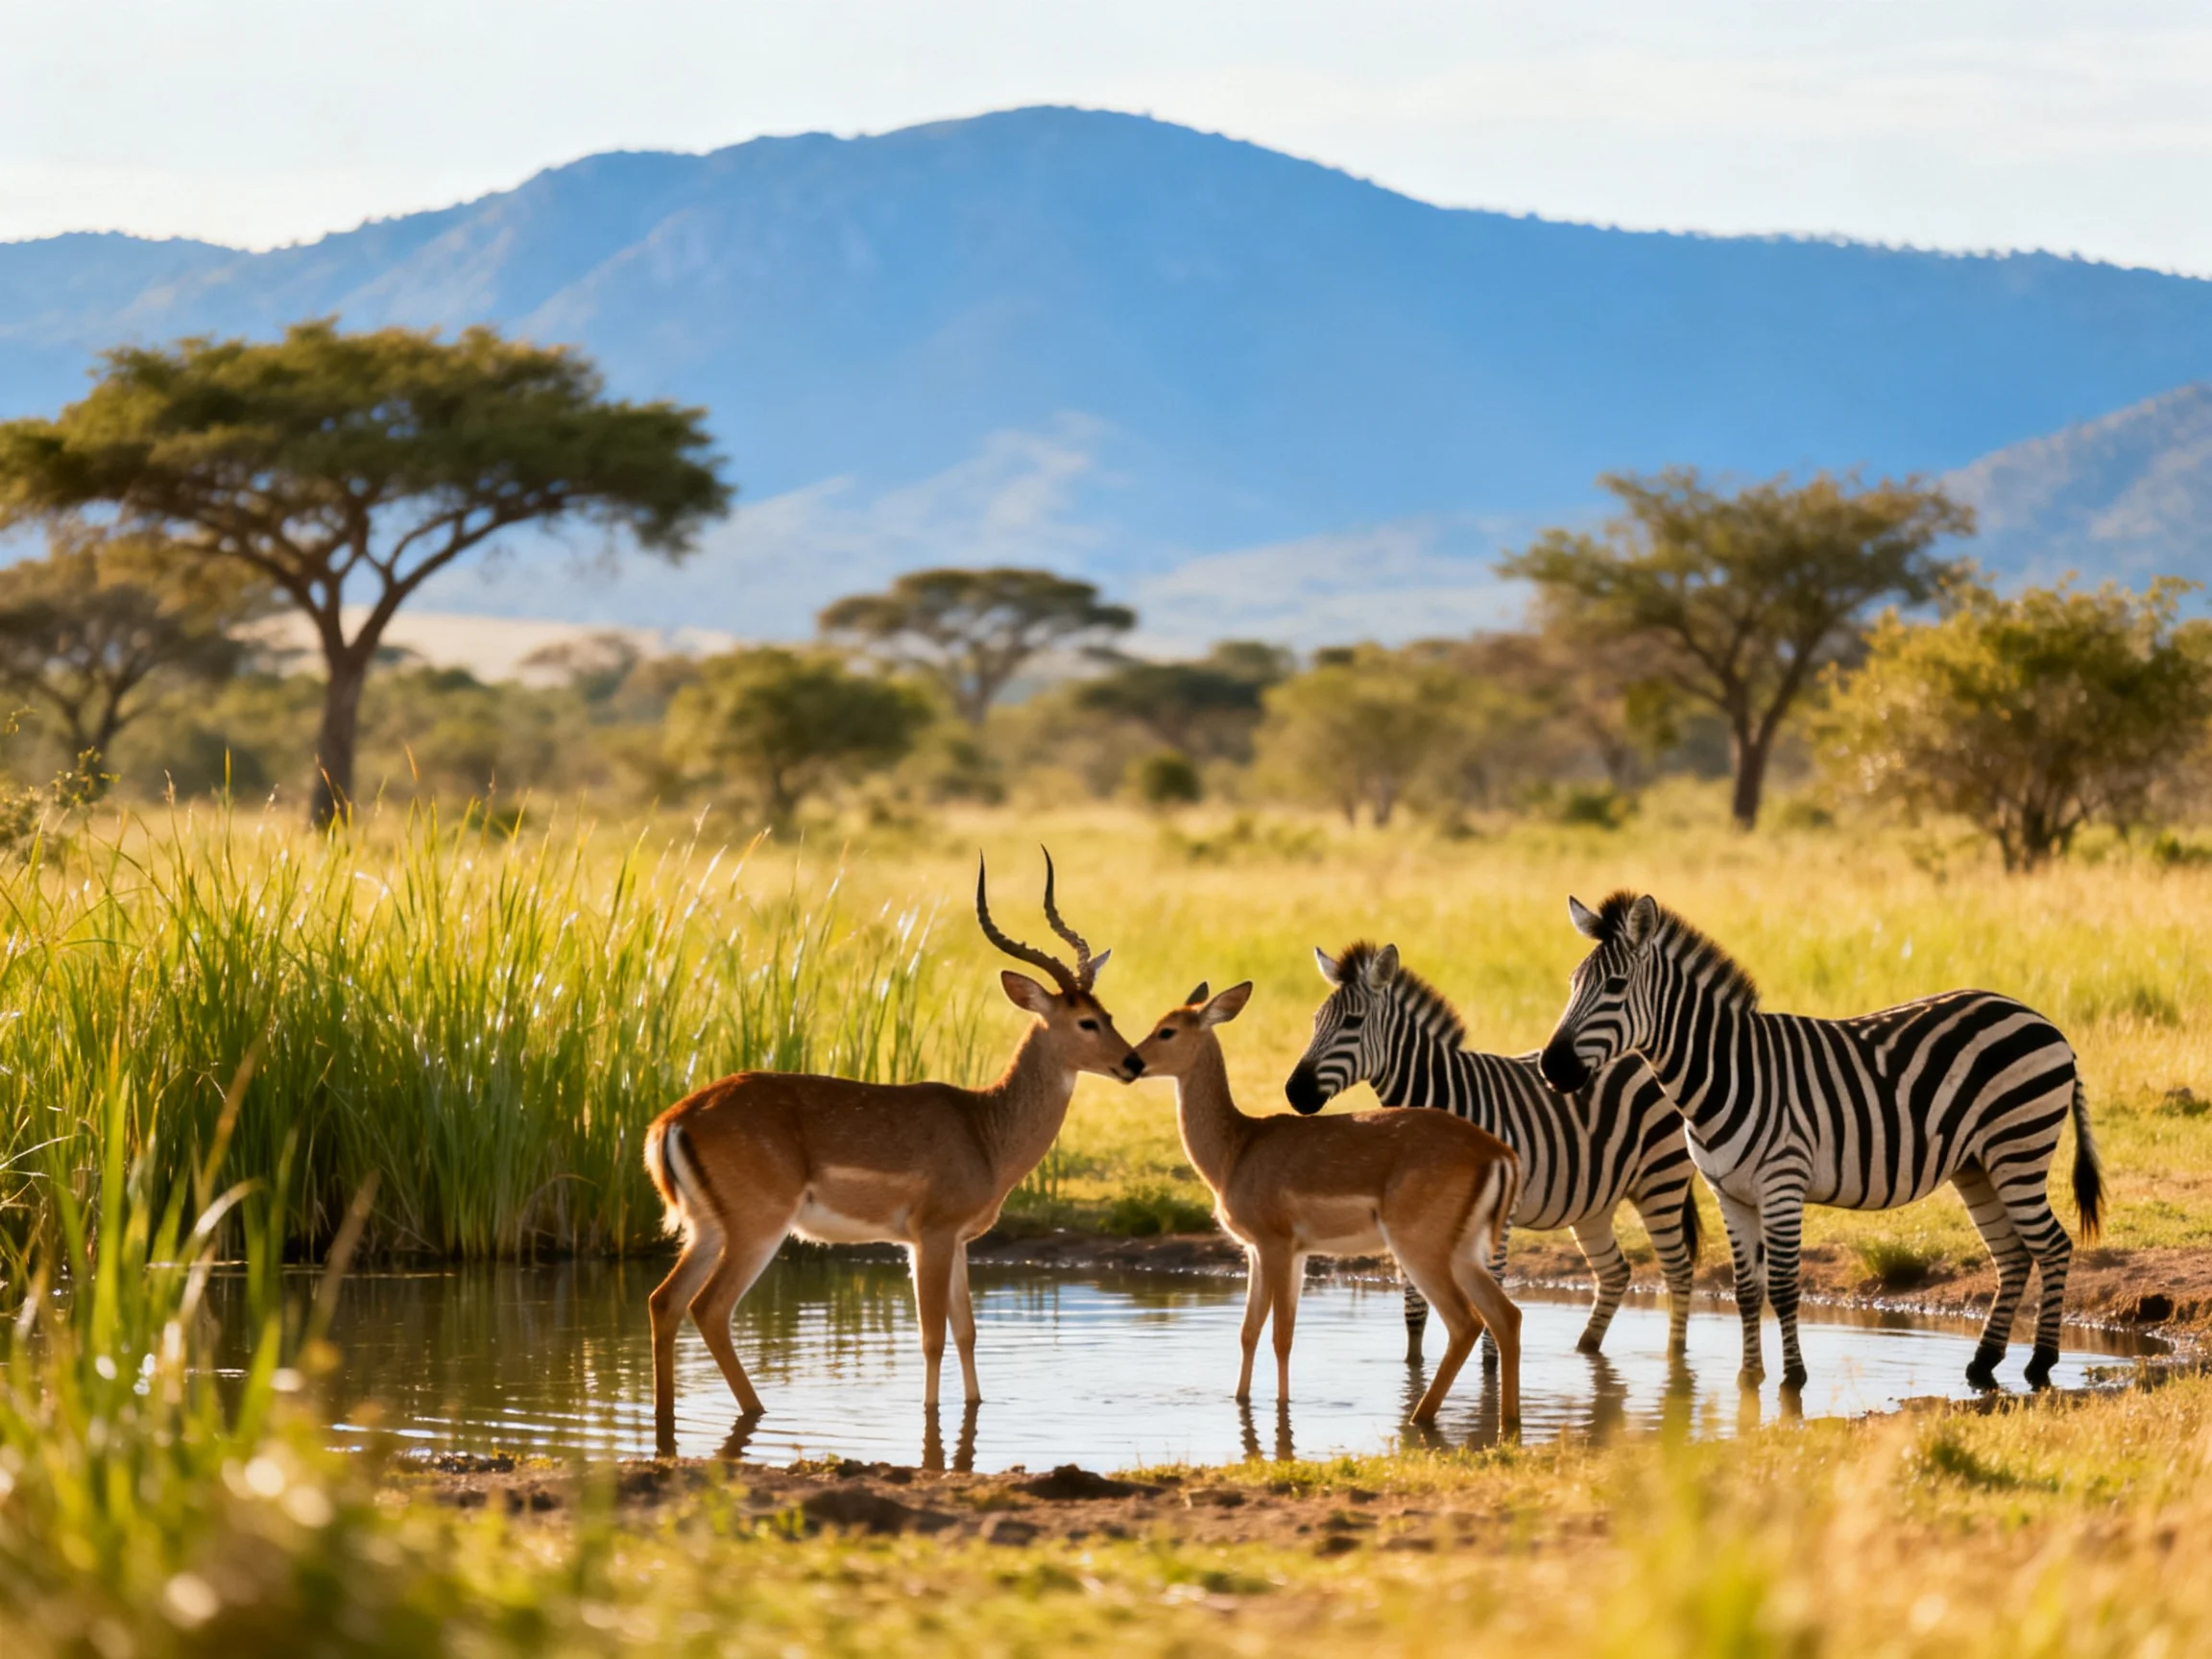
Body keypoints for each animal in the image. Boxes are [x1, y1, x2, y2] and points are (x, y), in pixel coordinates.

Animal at [1285, 941, 1702, 1361]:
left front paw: (1490, 1368)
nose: (1294, 1092)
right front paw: (1413, 1367)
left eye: (1352, 1023)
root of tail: (1642, 1051)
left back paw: (1676, 1358)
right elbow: (1414, 1307)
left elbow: (1491, 1297)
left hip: (1661, 1179)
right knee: (1614, 1272)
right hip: (1593, 1202)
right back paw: (1586, 1349)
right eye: (1316, 1021)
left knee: (1678, 1271)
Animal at [1538, 891, 2104, 1391]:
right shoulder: (1730, 1194)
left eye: (1615, 985)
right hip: (1977, 1166)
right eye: (1572, 983)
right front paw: (1749, 1378)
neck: (1724, 1074)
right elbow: (1747, 1291)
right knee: (2013, 1255)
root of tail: (2044, 1022)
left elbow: (1786, 1289)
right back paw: (1982, 1365)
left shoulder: (1782, 1183)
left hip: (2018, 1148)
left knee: (2052, 1244)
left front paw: (1793, 1380)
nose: (1551, 1066)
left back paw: (2040, 1364)